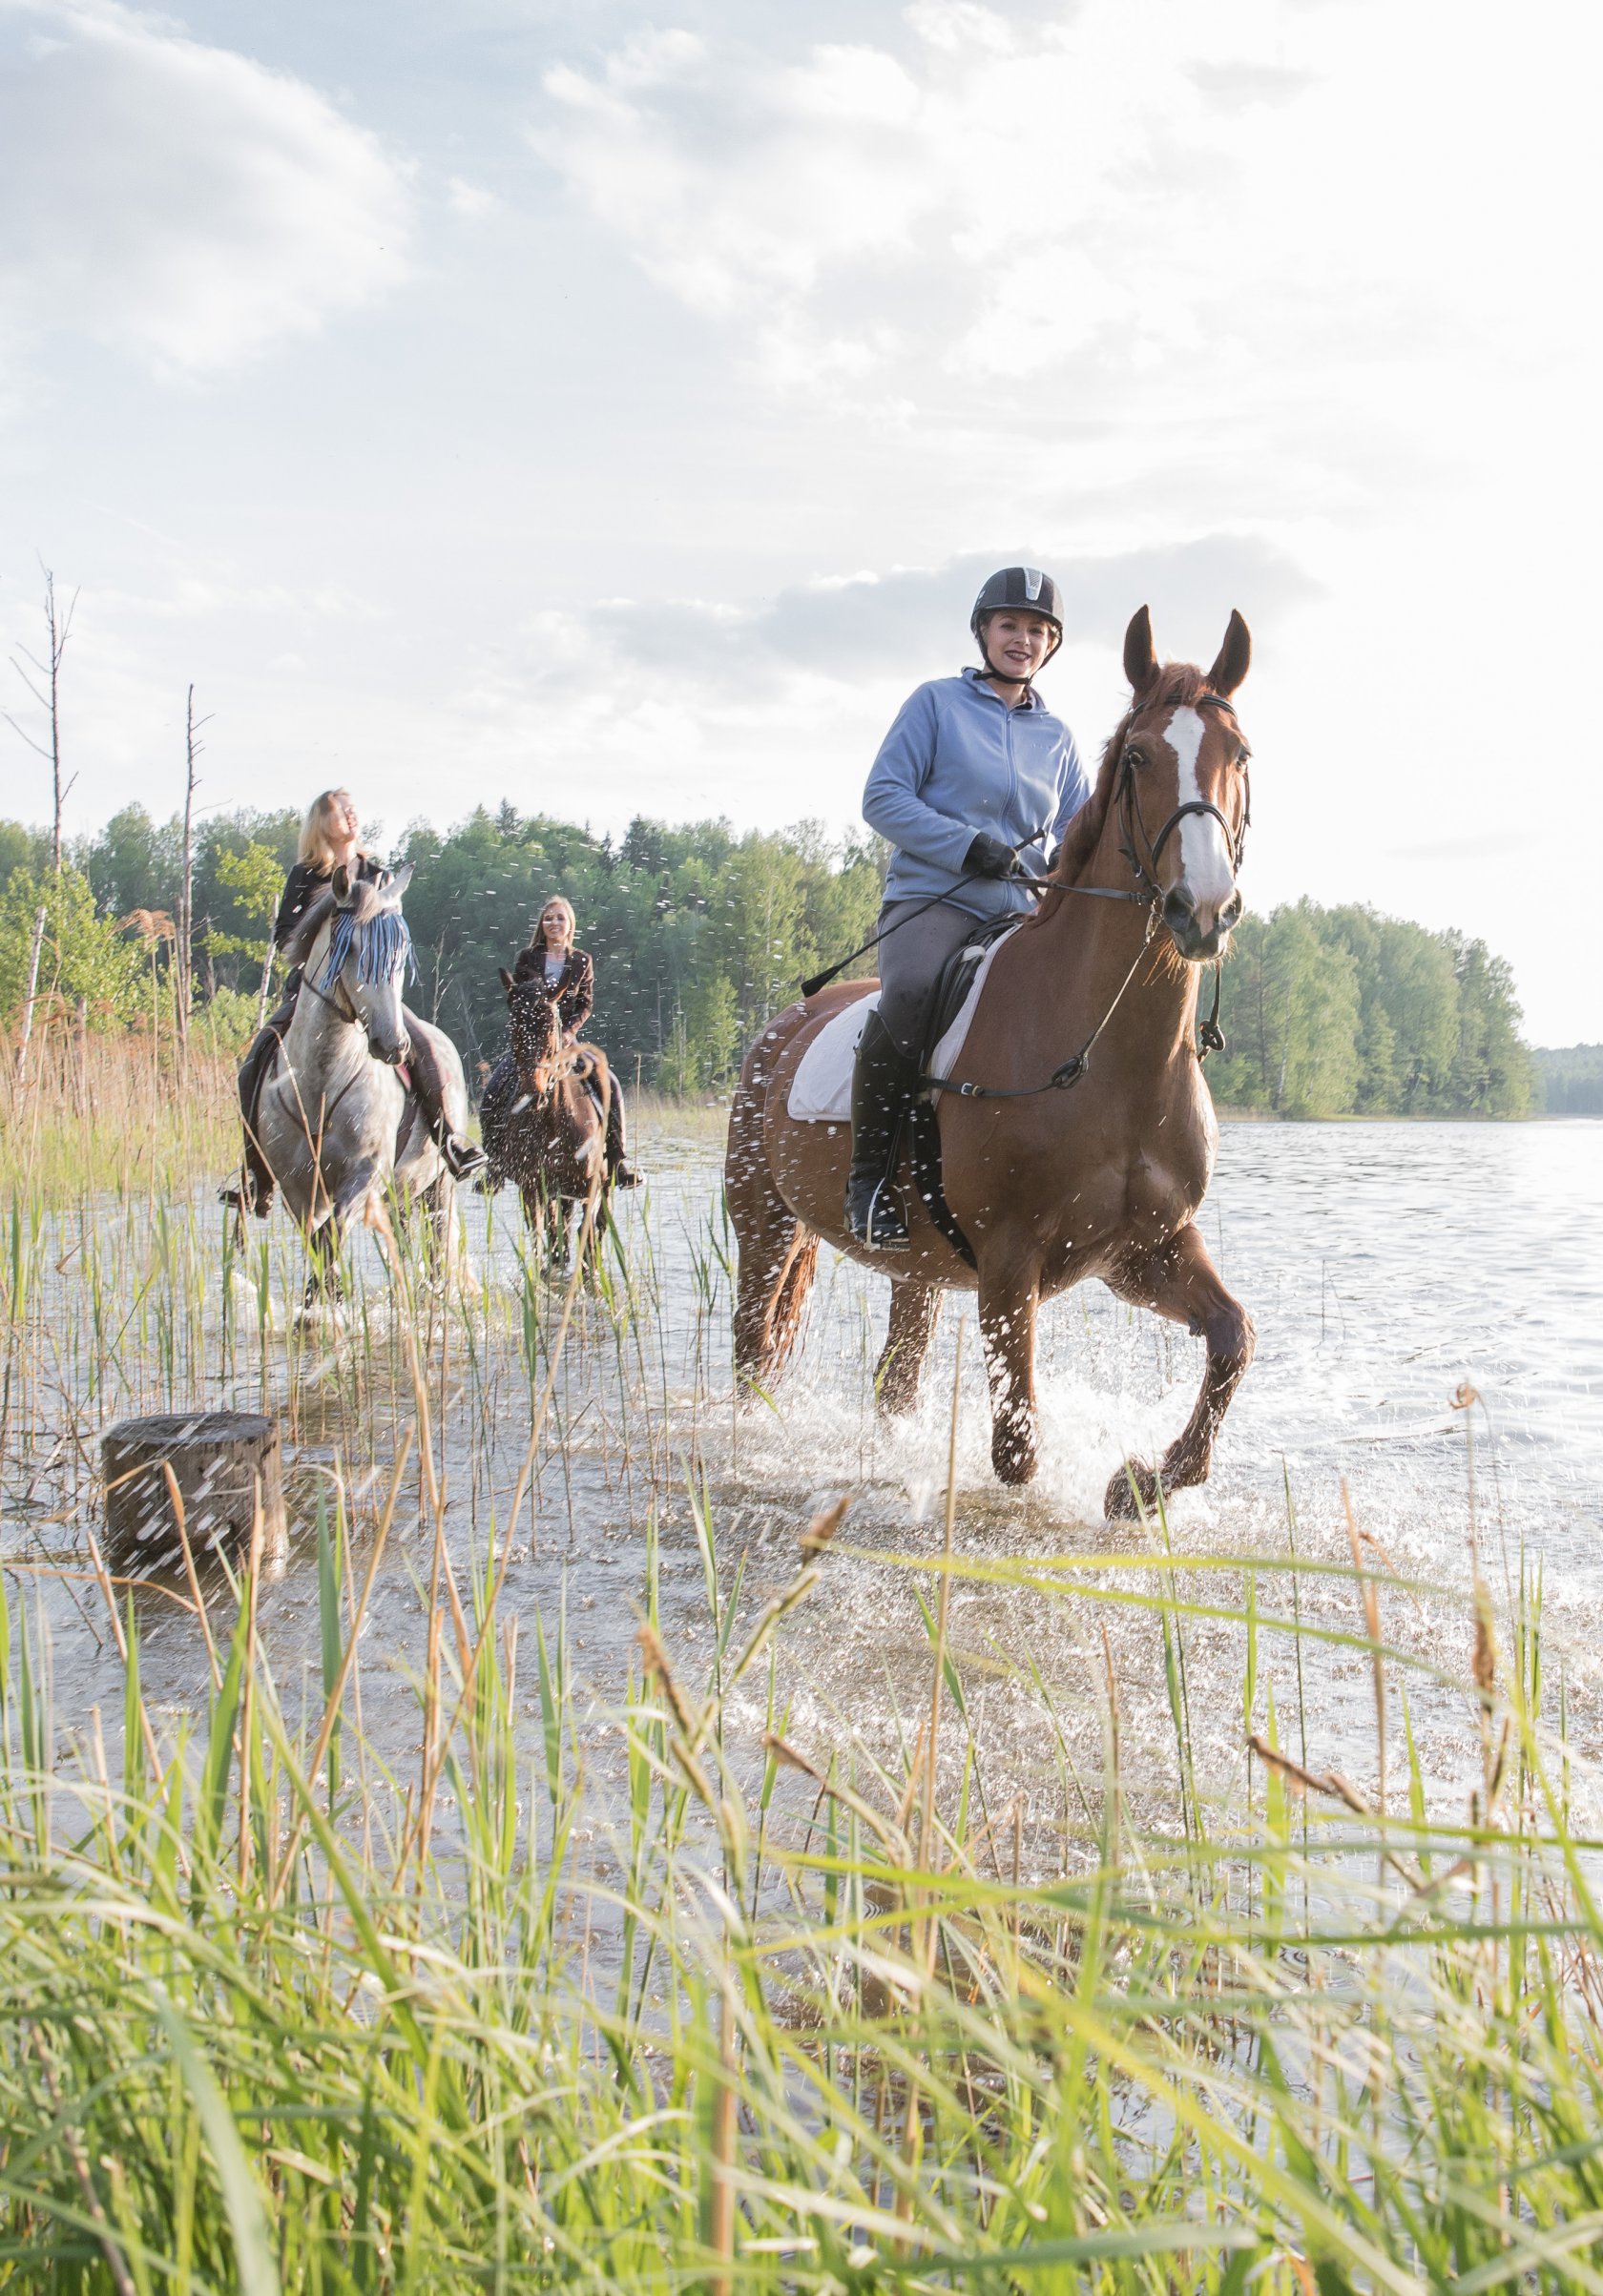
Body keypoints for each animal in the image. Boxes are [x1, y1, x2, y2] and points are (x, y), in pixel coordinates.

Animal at [255, 863, 468, 1304]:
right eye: (351, 948)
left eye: (401, 954)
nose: (395, 1045)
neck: (320, 1086)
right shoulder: (297, 1189)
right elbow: (318, 1245)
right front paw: (322, 1301)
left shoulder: (363, 1174)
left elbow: (332, 1235)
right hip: (401, 1195)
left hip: (438, 1186)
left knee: (437, 1252)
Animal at [477, 968, 615, 1276]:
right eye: (514, 1027)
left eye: (550, 1026)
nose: (534, 1094)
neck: (553, 1123)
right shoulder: (532, 1188)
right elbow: (542, 1239)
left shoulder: (588, 1188)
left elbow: (587, 1237)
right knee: (555, 1232)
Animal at [725, 606, 1258, 1524]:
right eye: (1140, 757)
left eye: (1242, 754)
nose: (1205, 908)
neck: (1109, 1061)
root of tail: (780, 1027)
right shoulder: (1012, 1267)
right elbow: (1016, 1451)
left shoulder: (1145, 1250)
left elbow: (1232, 1338)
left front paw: (1139, 1483)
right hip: (763, 1226)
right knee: (754, 1352)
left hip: (913, 1269)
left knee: (893, 1380)